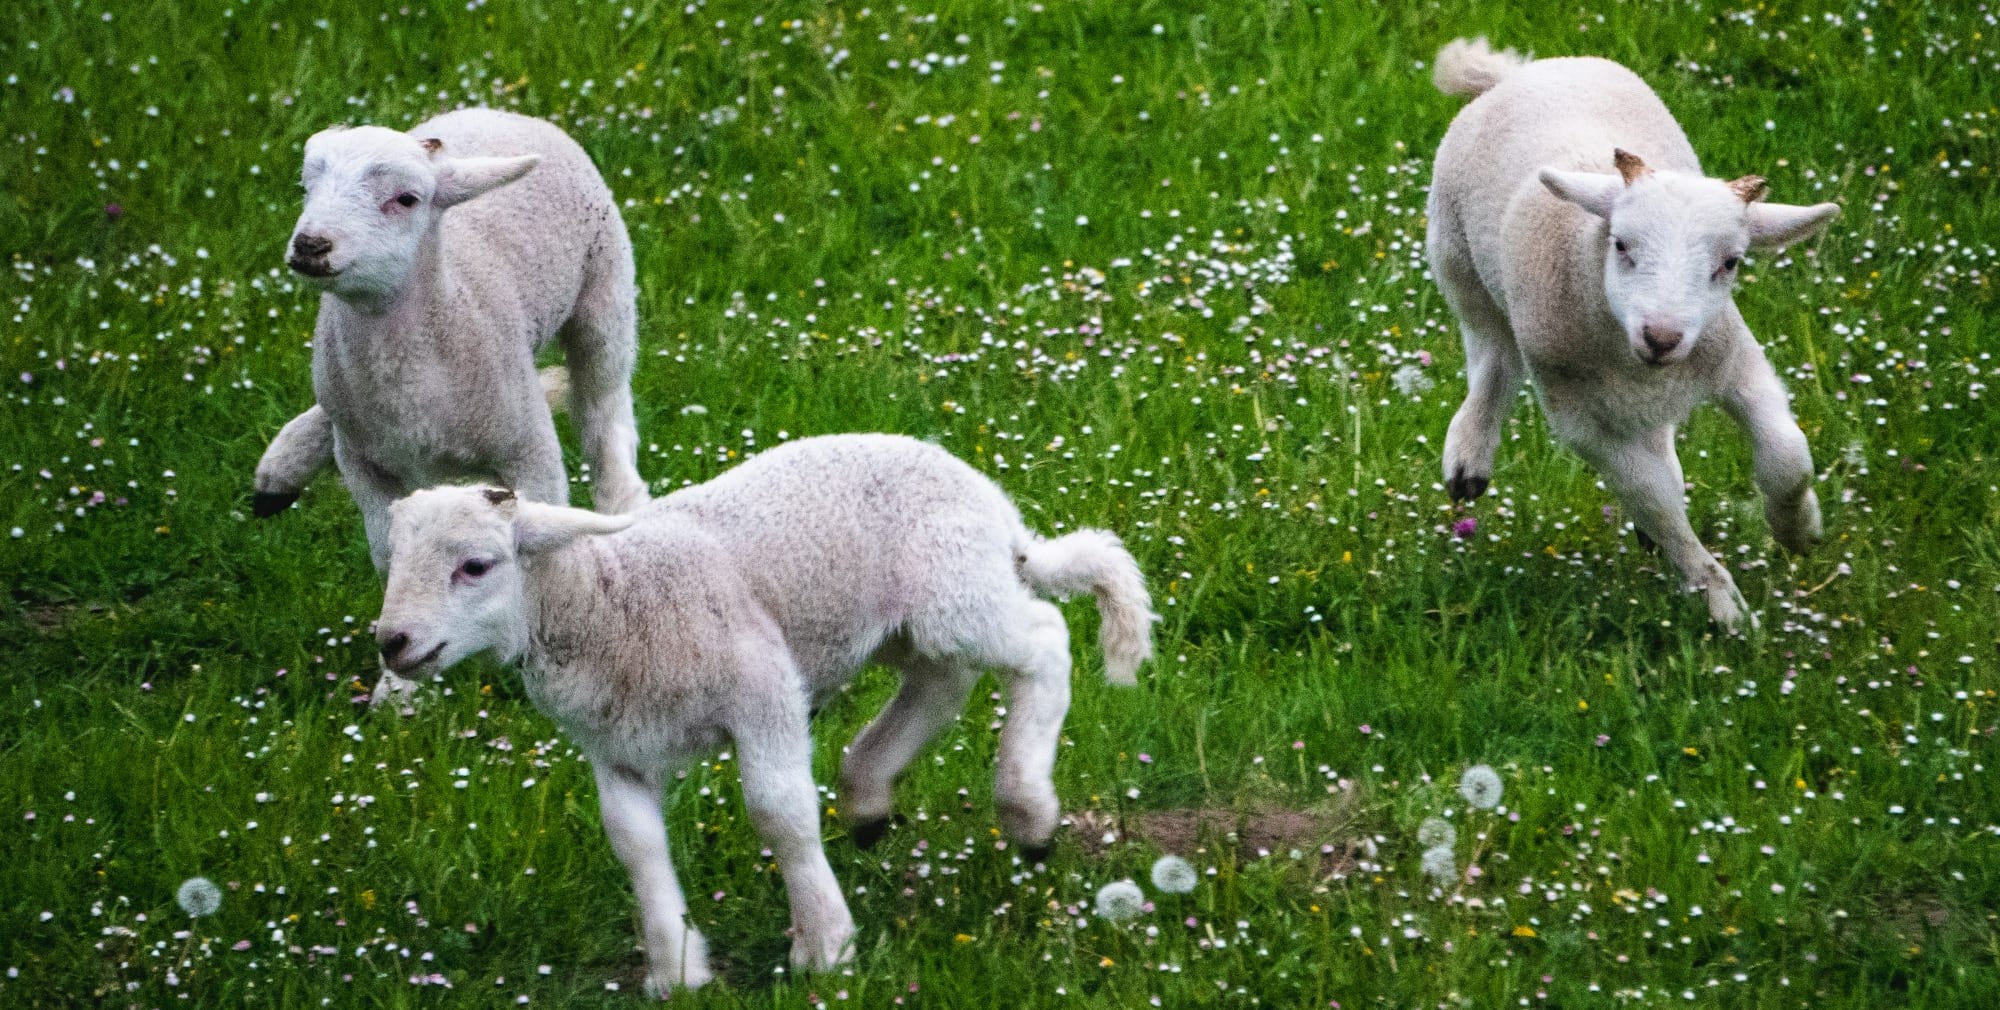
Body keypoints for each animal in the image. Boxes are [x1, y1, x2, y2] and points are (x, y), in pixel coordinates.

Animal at [253, 107, 648, 566]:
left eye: (406, 199)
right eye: (305, 189)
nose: (310, 245)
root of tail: (500, 112)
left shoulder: (530, 453)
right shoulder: (362, 464)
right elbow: (390, 553)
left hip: (606, 292)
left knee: (604, 409)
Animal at [370, 434, 1156, 994]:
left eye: (475, 566)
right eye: (394, 561)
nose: (392, 642)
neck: (610, 601)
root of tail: (991, 500)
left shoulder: (763, 693)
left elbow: (780, 813)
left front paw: (827, 947)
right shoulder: (614, 745)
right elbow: (634, 843)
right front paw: (677, 969)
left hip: (954, 591)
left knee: (1043, 643)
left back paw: (1027, 812)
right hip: (906, 622)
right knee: (943, 682)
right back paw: (869, 797)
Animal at [1426, 38, 1840, 628]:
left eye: (1731, 263)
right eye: (1620, 245)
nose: (1662, 336)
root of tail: (1521, 73)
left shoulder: (1737, 361)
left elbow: (1787, 455)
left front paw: (1798, 528)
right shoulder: (1583, 420)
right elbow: (1655, 501)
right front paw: (1722, 603)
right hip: (1457, 260)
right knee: (1493, 355)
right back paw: (1470, 455)